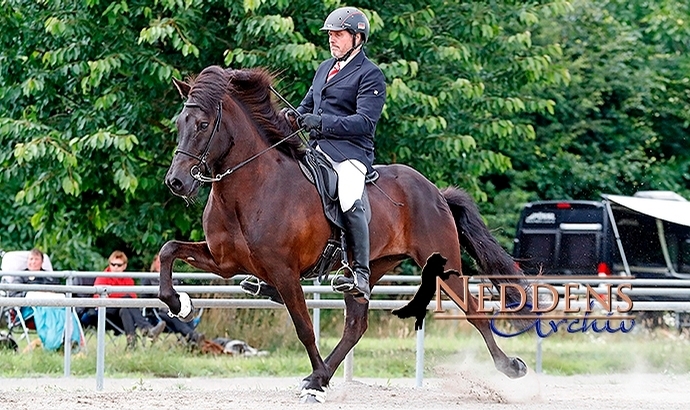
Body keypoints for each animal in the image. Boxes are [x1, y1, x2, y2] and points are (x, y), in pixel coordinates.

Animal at [160, 65, 528, 402]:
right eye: (179, 124)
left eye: (203, 125)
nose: (176, 182)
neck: (253, 186)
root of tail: (435, 192)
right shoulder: (225, 263)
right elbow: (169, 250)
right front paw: (179, 304)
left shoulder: (284, 272)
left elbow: (304, 328)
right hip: (369, 269)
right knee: (356, 326)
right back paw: (320, 377)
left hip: (443, 265)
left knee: (473, 310)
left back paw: (511, 367)